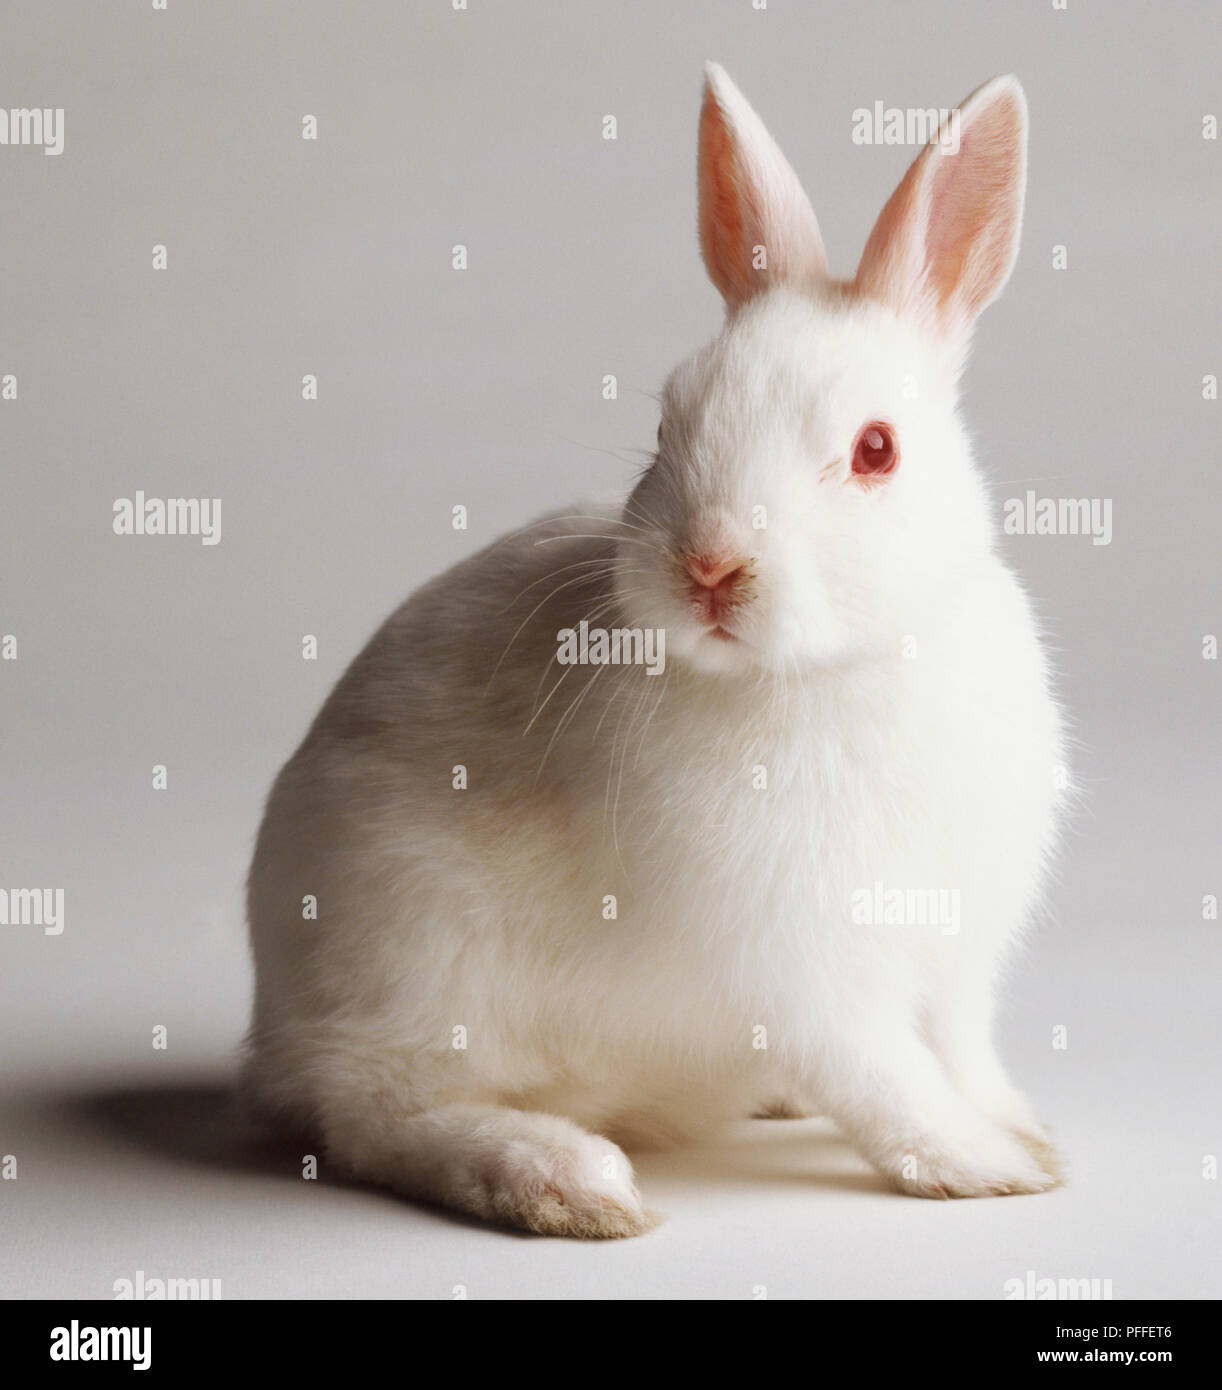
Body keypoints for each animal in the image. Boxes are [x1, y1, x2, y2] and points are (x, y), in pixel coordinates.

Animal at [244, 62, 1068, 1238]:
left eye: (877, 450)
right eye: (670, 424)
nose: (710, 566)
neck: (831, 670)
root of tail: (271, 1030)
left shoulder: (956, 960)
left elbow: (963, 1050)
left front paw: (1026, 1133)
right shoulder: (805, 968)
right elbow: (885, 1079)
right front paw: (984, 1166)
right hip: (414, 957)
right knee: (376, 1115)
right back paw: (562, 1178)